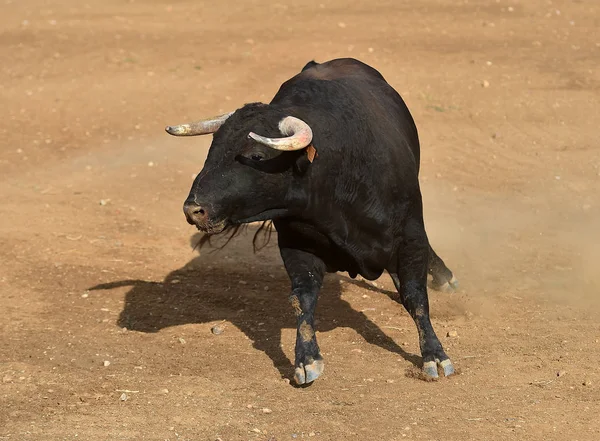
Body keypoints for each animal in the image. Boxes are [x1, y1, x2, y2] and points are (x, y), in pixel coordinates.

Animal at [163, 57, 454, 382]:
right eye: (212, 149)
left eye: (256, 155)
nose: (193, 209)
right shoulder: (296, 244)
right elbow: (303, 297)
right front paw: (306, 360)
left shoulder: (410, 235)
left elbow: (416, 296)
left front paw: (435, 356)